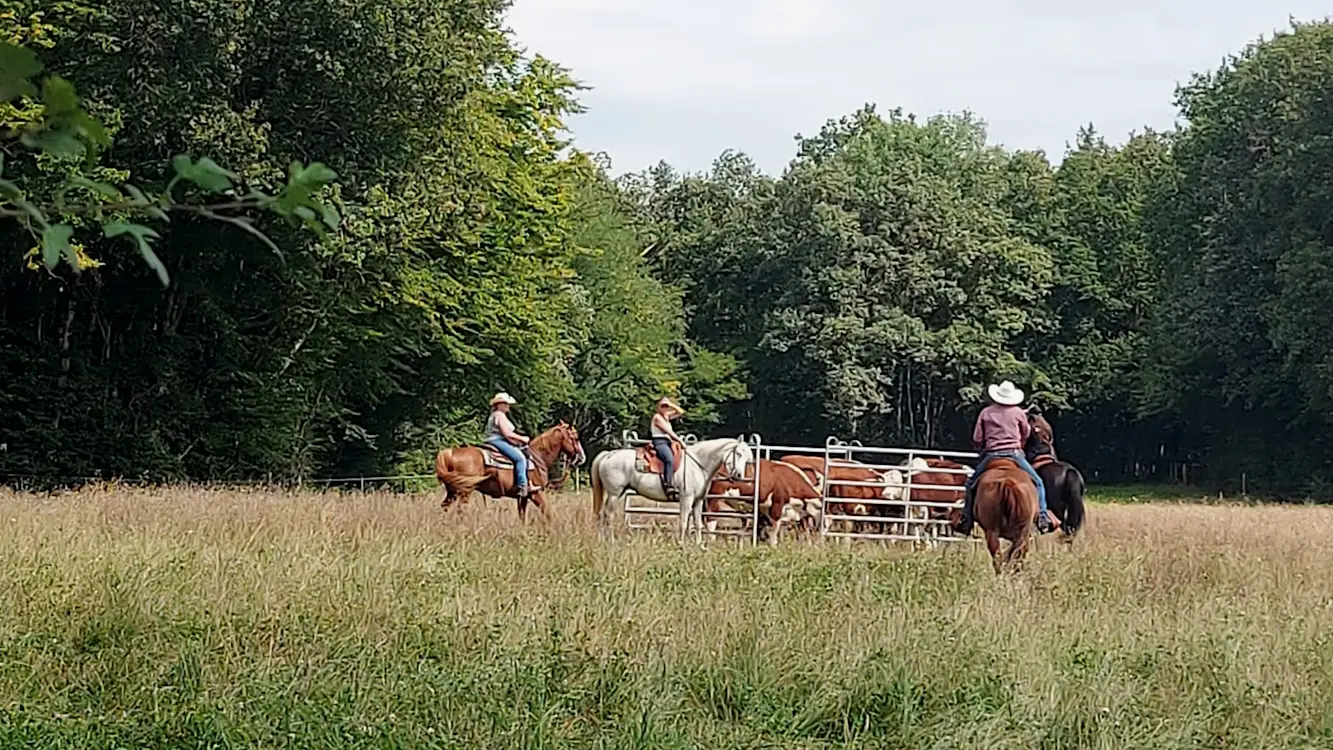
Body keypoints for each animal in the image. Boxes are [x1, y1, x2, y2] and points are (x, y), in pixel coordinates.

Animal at [434, 423, 586, 522]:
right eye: (576, 438)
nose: (582, 458)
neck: (538, 457)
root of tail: (451, 453)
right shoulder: (536, 493)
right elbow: (547, 512)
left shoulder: (523, 497)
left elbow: (522, 517)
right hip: (464, 492)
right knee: (460, 510)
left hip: (452, 492)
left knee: (445, 507)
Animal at [591, 434, 751, 546]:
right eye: (738, 454)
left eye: (746, 457)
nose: (739, 476)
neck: (697, 464)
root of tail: (608, 455)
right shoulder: (686, 498)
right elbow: (684, 522)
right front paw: (681, 544)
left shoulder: (698, 501)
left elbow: (698, 524)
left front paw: (699, 545)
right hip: (614, 493)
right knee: (608, 514)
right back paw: (610, 540)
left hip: (616, 493)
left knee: (603, 514)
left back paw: (602, 539)